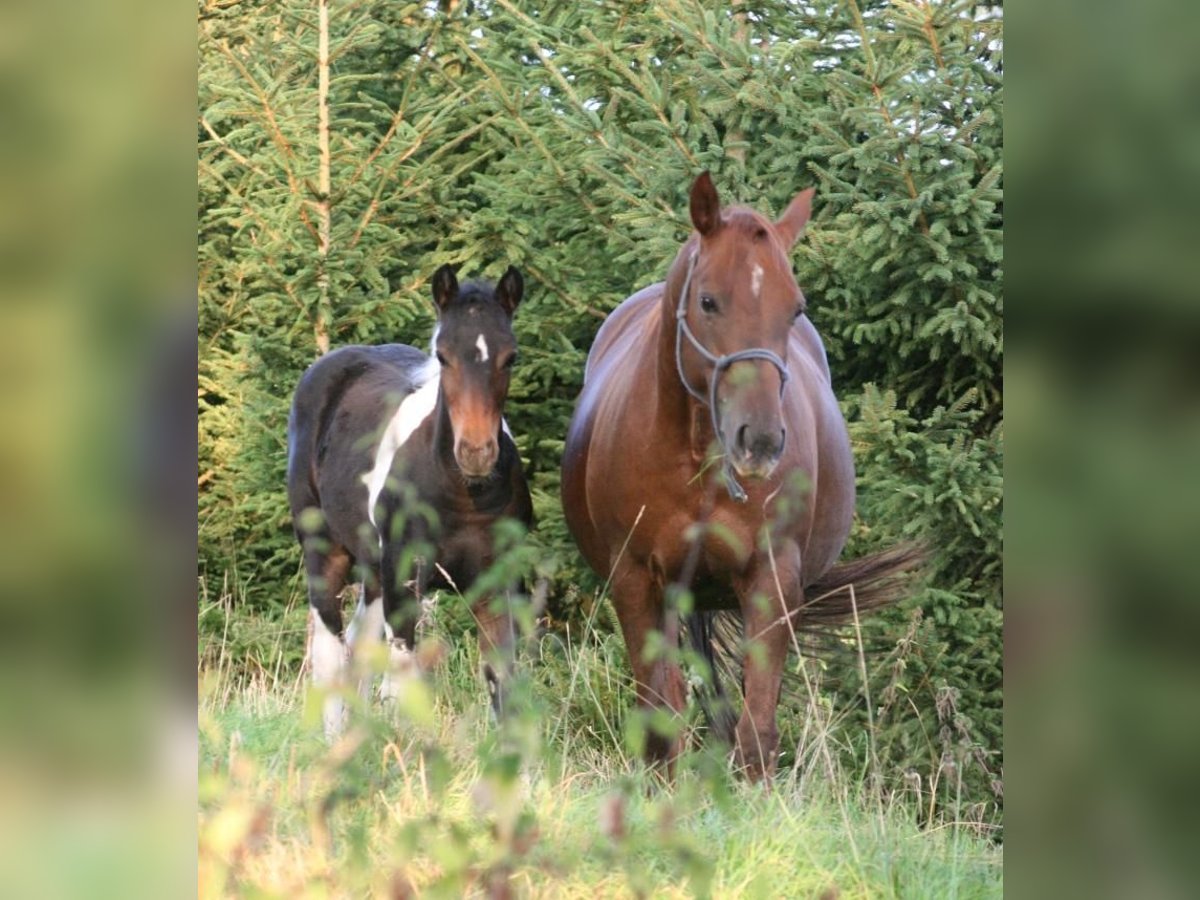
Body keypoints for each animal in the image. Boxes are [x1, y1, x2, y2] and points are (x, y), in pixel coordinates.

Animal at [285, 266, 530, 739]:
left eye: (510, 357)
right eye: (443, 356)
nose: (476, 453)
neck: (461, 494)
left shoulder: (499, 584)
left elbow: (503, 685)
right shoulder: (406, 580)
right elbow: (403, 687)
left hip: (375, 567)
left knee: (359, 647)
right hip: (327, 550)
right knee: (330, 650)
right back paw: (332, 743)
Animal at [561, 176, 916, 782]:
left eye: (795, 309)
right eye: (708, 301)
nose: (762, 439)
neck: (697, 463)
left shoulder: (771, 580)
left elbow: (757, 731)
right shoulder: (637, 582)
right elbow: (661, 722)